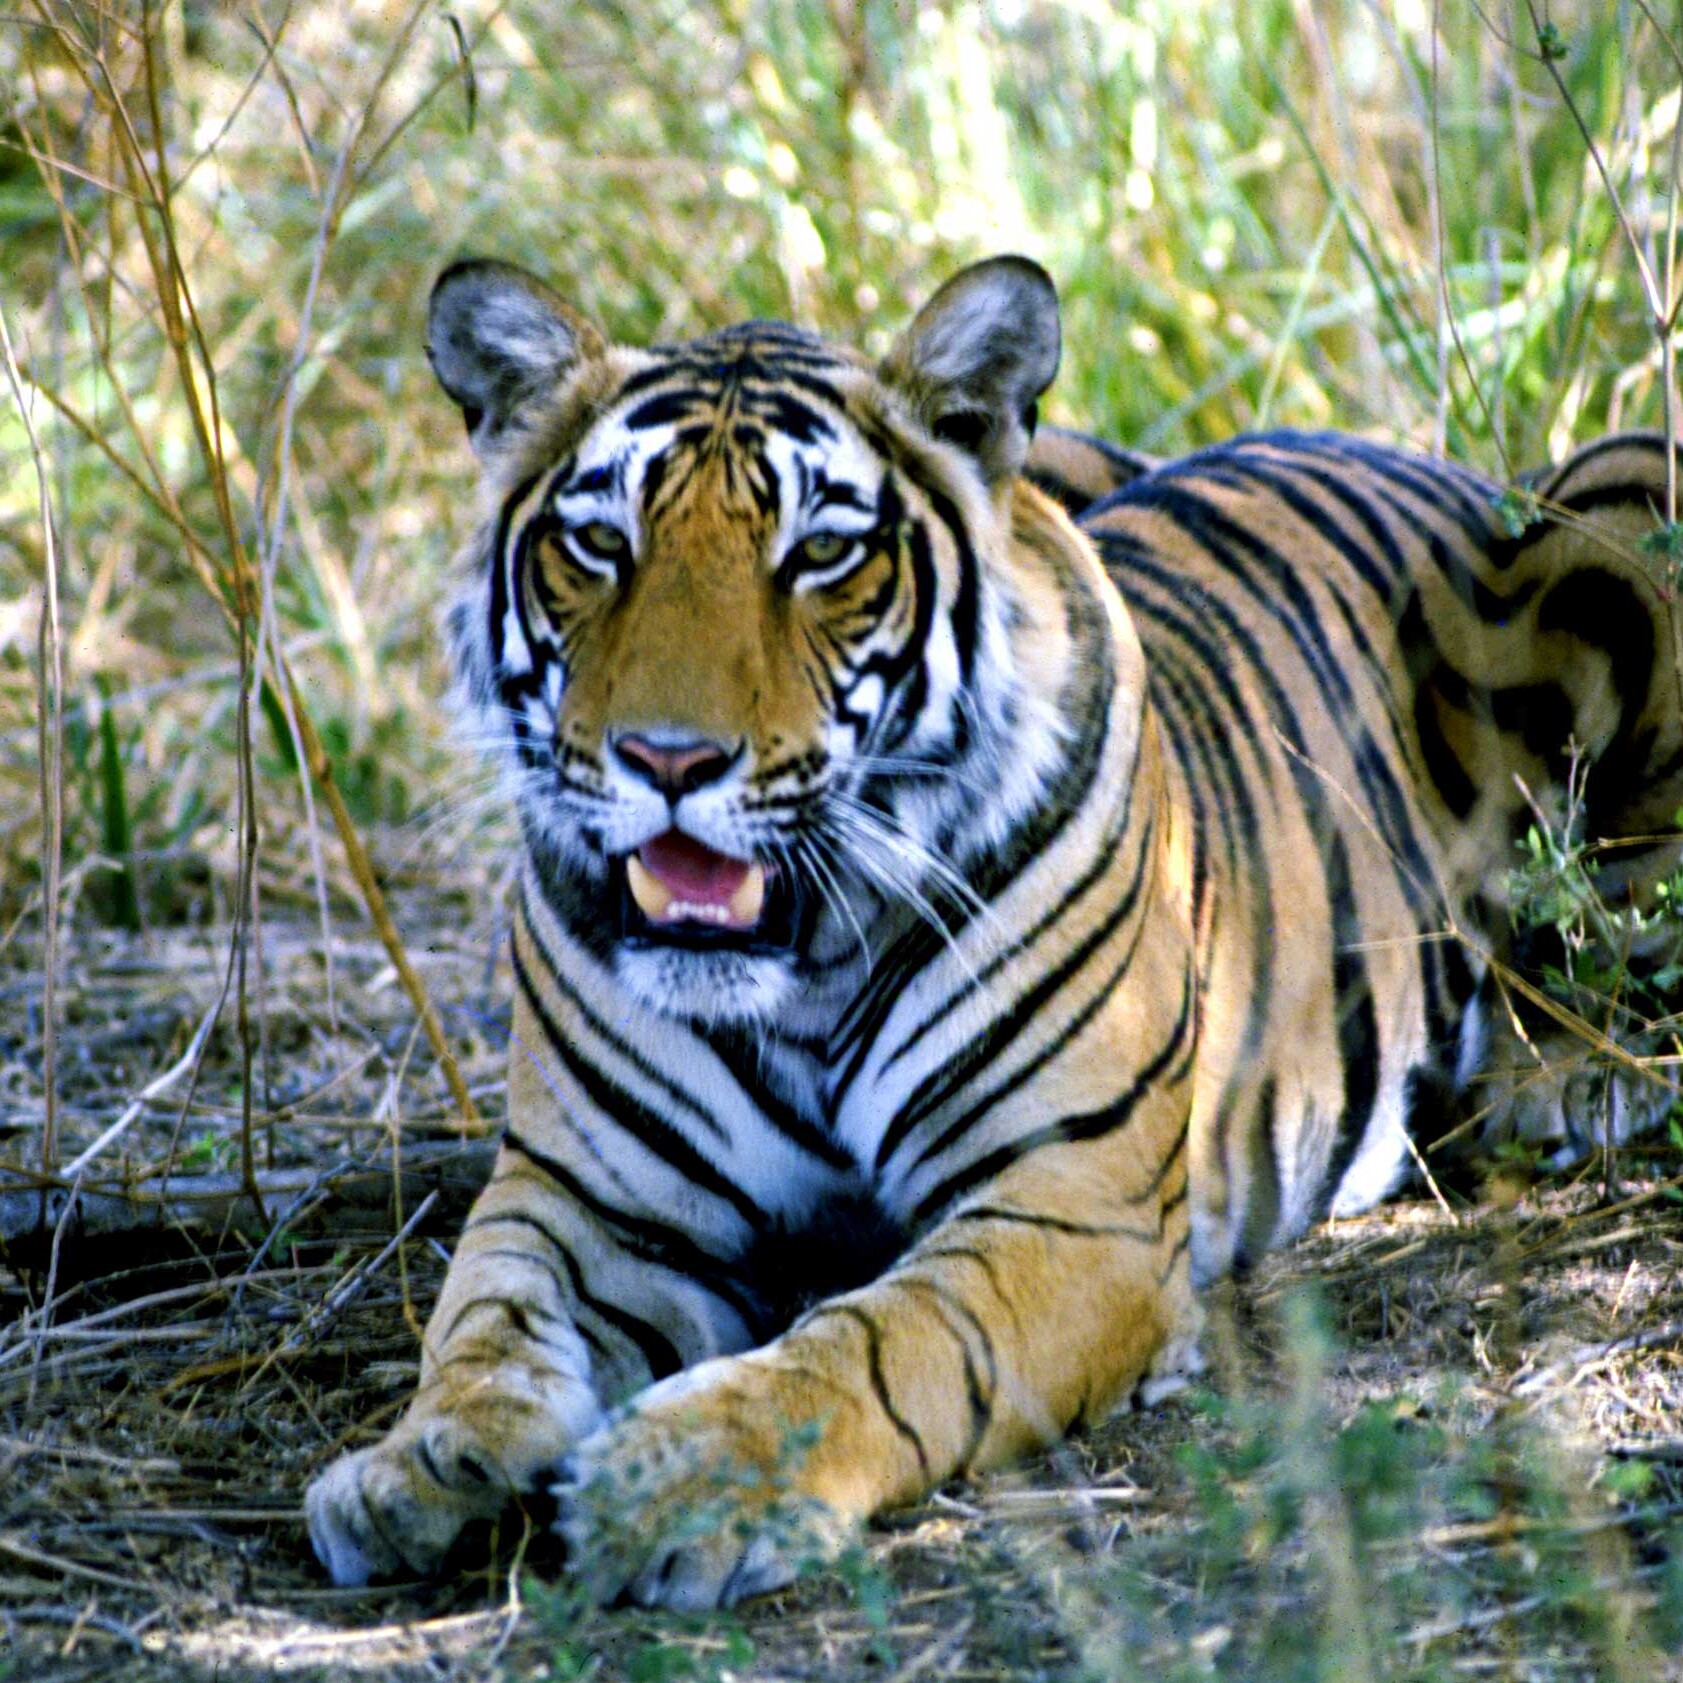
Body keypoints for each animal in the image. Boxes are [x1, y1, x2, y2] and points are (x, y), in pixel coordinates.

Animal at [305, 255, 1683, 1610]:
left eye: (820, 553)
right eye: (599, 543)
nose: (669, 759)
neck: (801, 969)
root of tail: (1414, 455)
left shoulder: (1067, 1206)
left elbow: (876, 1344)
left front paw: (679, 1480)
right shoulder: (587, 1197)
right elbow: (487, 1316)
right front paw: (417, 1464)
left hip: (1626, 499)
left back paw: (1561, 1083)